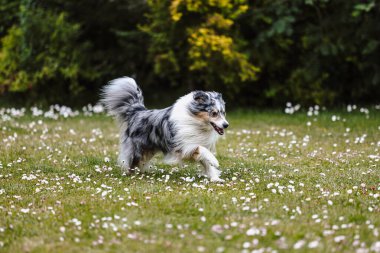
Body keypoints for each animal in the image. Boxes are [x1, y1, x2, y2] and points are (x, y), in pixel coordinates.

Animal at [99, 77, 229, 182]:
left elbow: (206, 163)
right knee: (130, 161)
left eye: (223, 112)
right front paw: (215, 161)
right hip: (137, 149)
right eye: (214, 113)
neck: (196, 122)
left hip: (148, 150)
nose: (226, 125)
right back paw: (130, 174)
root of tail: (137, 111)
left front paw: (215, 178)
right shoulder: (182, 146)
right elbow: (201, 149)